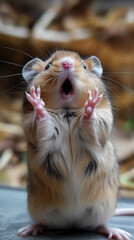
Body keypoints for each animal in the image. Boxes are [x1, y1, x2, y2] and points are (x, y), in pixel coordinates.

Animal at [17, 49, 131, 239]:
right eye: (48, 65)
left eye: (84, 66)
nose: (67, 63)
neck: (67, 111)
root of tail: (73, 221)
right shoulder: (39, 132)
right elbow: (43, 122)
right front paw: (38, 102)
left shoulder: (99, 127)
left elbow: (89, 121)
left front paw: (90, 104)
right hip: (40, 209)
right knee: (45, 223)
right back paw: (29, 230)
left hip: (102, 208)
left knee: (98, 225)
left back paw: (117, 233)